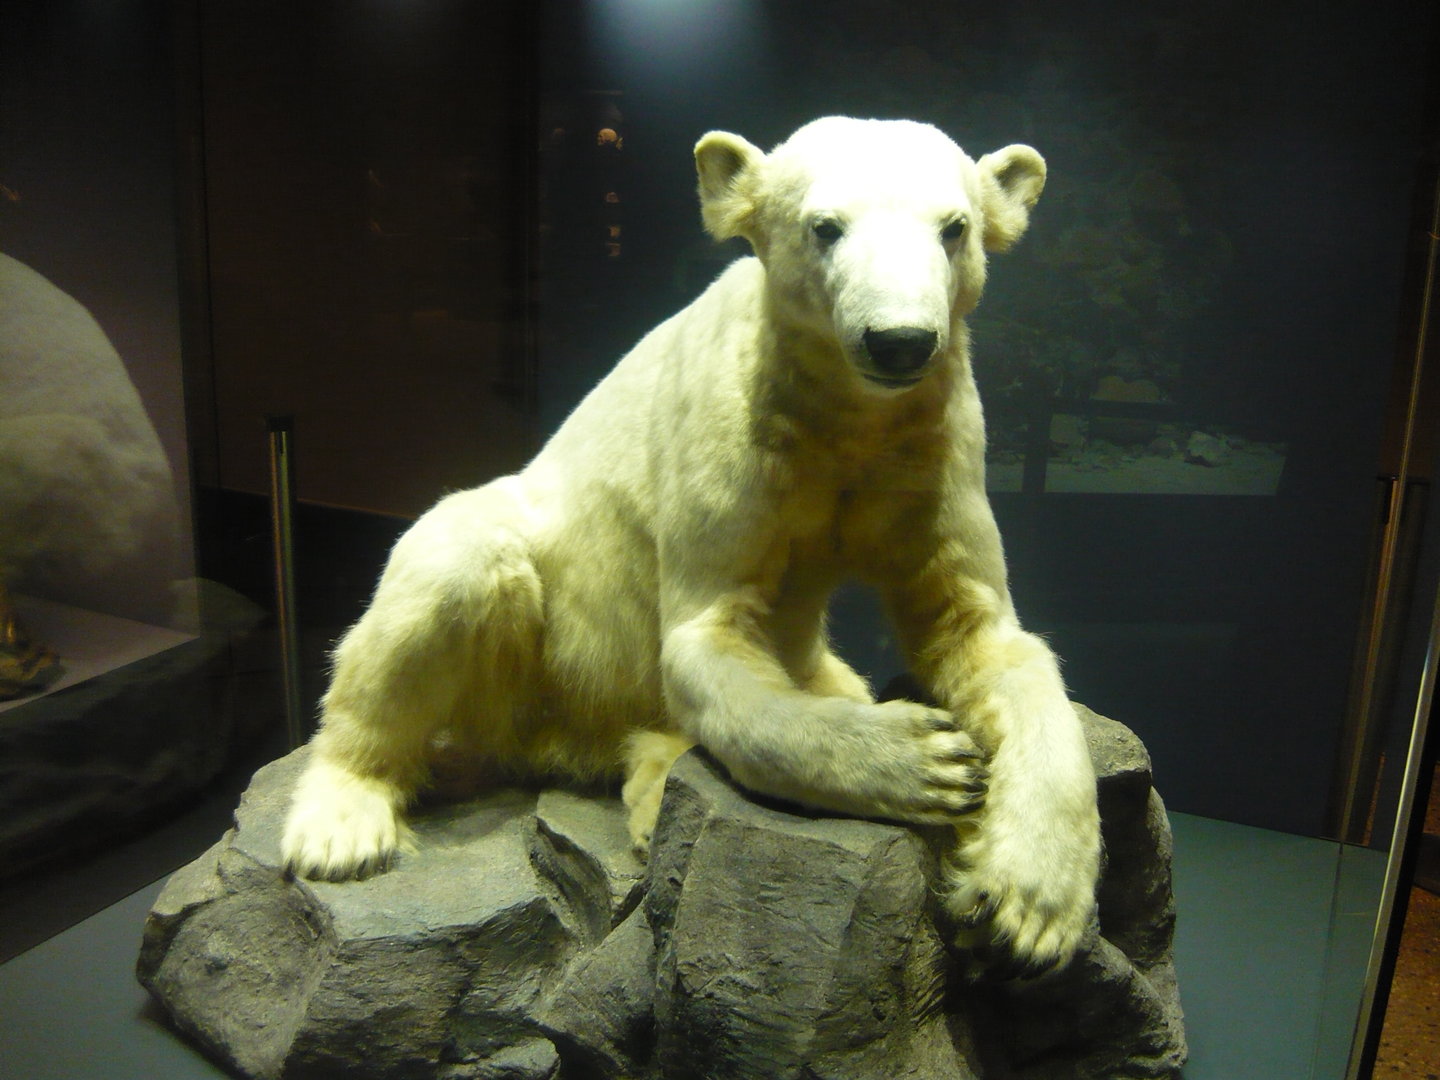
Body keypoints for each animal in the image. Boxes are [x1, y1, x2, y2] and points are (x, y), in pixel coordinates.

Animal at [281, 117, 1101, 975]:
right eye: (825, 226)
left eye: (955, 227)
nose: (900, 341)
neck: (843, 421)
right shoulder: (731, 439)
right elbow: (707, 638)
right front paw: (925, 757)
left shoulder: (935, 449)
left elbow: (982, 631)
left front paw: (1030, 902)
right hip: (532, 629)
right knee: (445, 583)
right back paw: (343, 822)